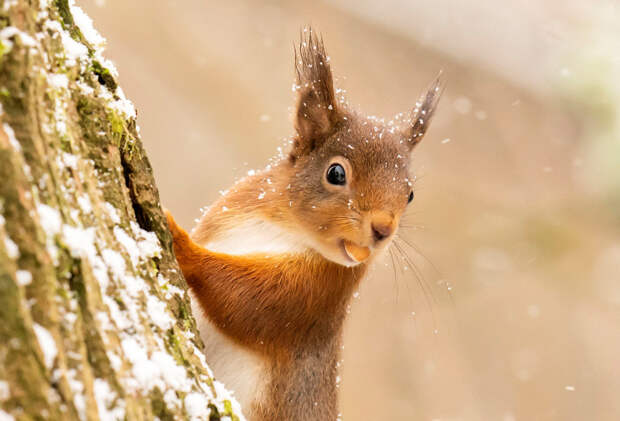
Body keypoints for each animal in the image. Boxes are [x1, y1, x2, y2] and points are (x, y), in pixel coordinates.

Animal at [165, 27, 444, 420]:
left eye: (410, 194)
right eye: (336, 173)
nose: (383, 229)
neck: (285, 227)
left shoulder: (313, 296)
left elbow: (242, 300)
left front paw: (179, 237)